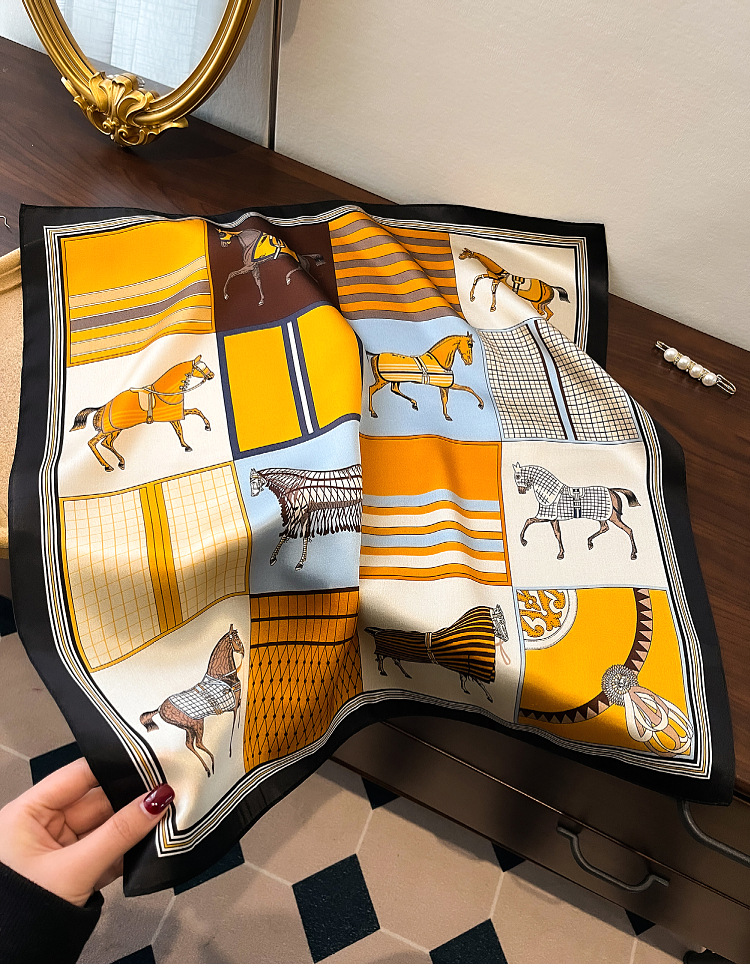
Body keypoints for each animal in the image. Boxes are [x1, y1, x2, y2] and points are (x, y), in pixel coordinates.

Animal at [70, 356, 214, 471]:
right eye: (200, 367)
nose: (212, 375)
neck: (167, 390)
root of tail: (102, 408)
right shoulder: (174, 417)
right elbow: (180, 430)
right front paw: (187, 445)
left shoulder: (176, 414)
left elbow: (196, 411)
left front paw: (206, 427)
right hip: (110, 430)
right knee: (93, 443)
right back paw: (108, 466)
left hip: (115, 430)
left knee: (106, 443)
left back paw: (120, 463)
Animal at [139, 625, 244, 777]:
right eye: (236, 638)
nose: (242, 650)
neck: (221, 677)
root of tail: (159, 708)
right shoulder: (234, 706)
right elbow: (234, 723)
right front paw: (231, 749)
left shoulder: (237, 702)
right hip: (196, 723)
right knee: (198, 743)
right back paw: (212, 763)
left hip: (188, 727)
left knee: (190, 744)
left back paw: (208, 768)